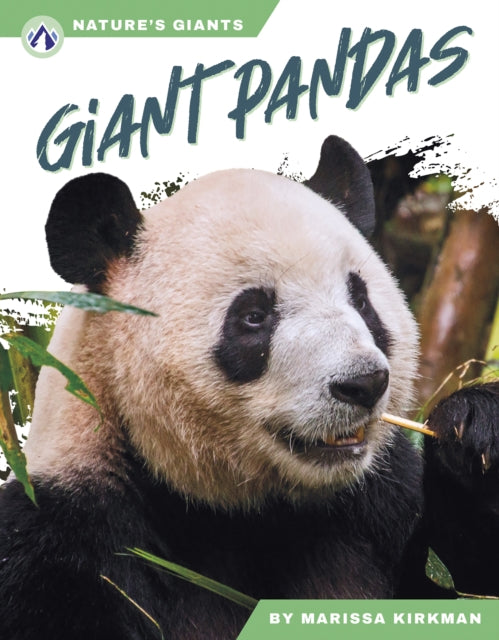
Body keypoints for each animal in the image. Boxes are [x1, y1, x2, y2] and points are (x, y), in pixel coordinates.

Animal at [0, 136, 498, 640]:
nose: (363, 384)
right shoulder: (66, 540)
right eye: (254, 316)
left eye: (361, 300)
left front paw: (474, 428)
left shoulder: (382, 504)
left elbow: (464, 582)